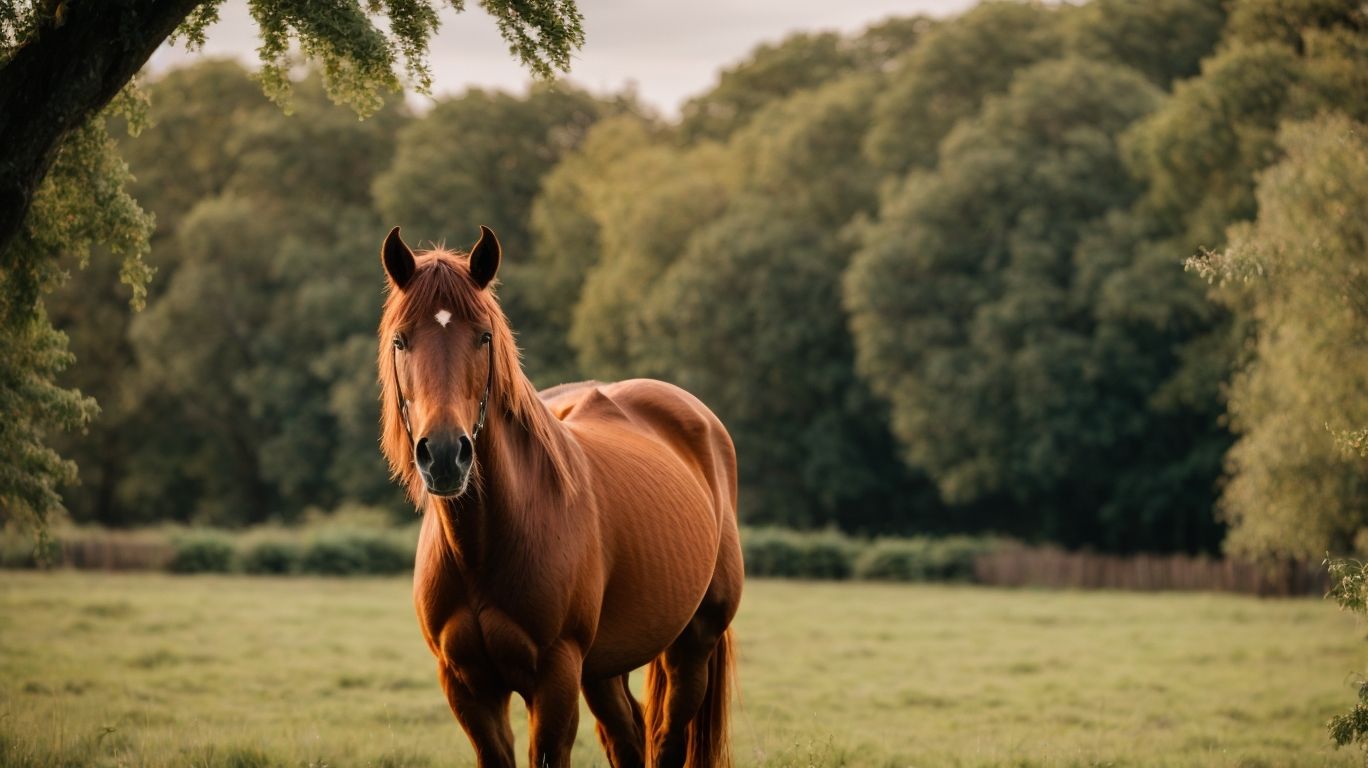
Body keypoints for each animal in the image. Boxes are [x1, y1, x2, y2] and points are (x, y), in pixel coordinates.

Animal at [376, 225, 744, 768]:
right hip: (605, 667)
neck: (483, 548)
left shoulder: (554, 678)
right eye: (401, 339)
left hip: (692, 646)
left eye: (484, 336)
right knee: (626, 735)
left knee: (666, 740)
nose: (443, 454)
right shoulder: (468, 687)